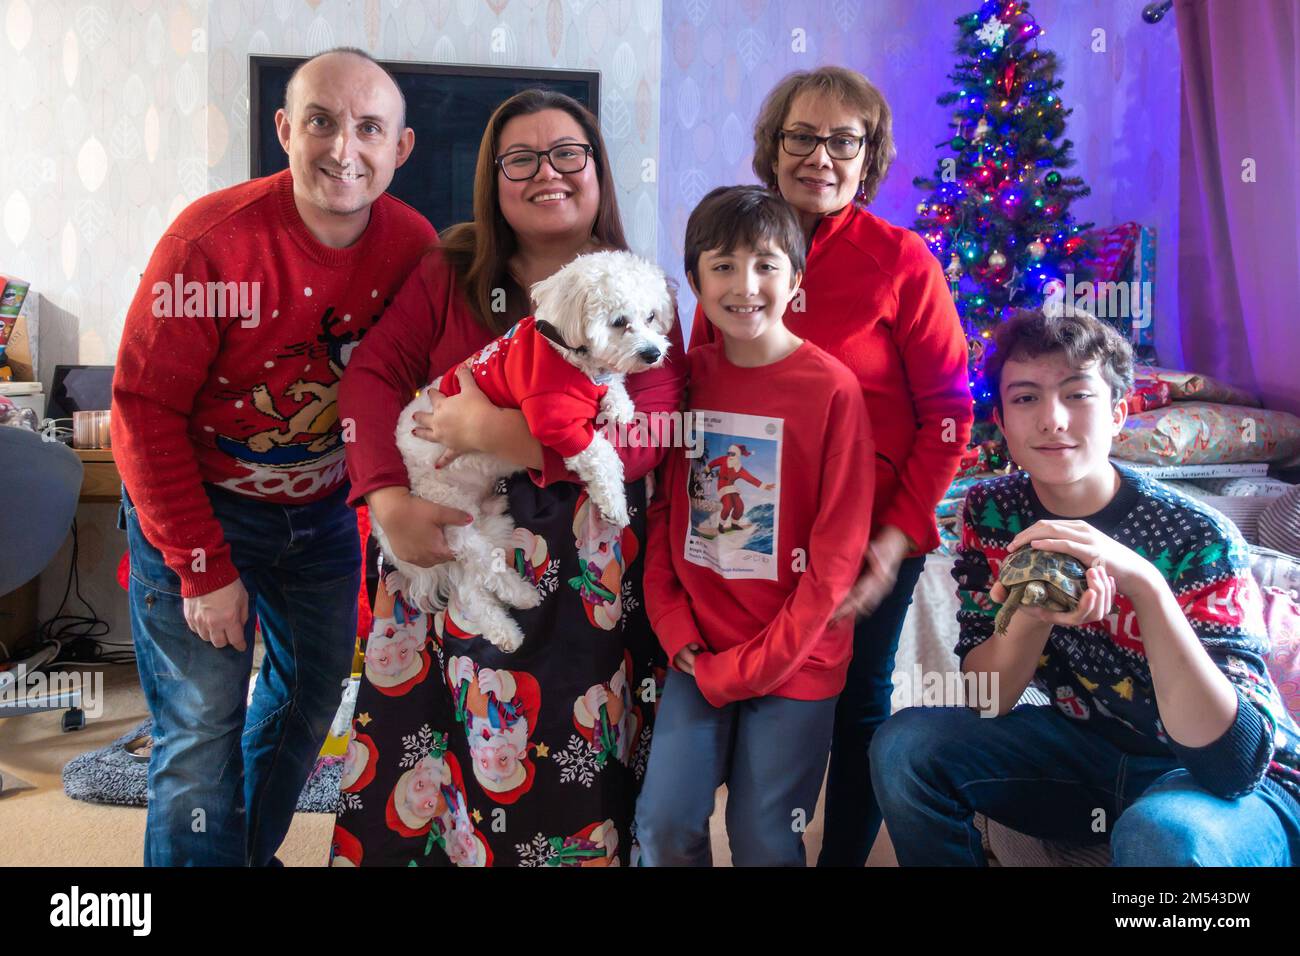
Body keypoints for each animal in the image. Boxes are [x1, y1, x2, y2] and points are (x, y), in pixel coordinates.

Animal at [371, 254, 676, 655]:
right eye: (618, 322)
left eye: (652, 316)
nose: (652, 353)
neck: (566, 352)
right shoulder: (555, 422)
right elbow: (601, 453)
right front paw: (614, 503)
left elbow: (613, 388)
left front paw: (619, 405)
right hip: (447, 511)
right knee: (485, 565)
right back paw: (521, 595)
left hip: (480, 521)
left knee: (471, 587)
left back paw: (505, 631)